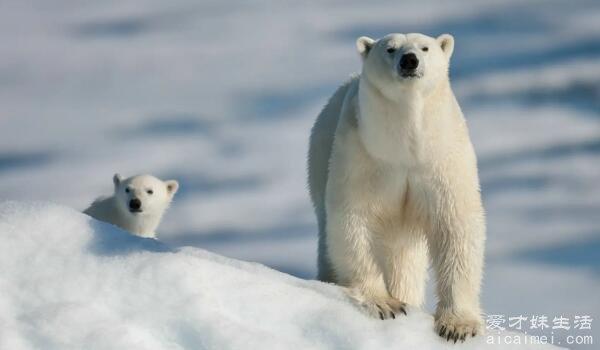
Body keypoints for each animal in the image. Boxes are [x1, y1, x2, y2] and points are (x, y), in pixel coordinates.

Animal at [308, 33, 486, 342]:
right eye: (390, 49)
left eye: (425, 47)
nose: (409, 60)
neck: (406, 147)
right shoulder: (363, 153)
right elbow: (353, 220)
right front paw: (384, 304)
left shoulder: (441, 158)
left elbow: (456, 225)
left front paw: (457, 325)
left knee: (405, 259)